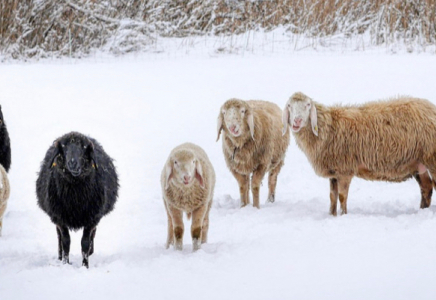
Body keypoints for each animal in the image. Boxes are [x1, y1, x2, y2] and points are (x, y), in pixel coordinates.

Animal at [36, 131, 118, 268]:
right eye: (64, 147)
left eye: (83, 147)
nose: (72, 163)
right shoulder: (60, 217)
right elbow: (65, 242)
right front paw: (65, 263)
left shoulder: (92, 218)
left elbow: (85, 243)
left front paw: (85, 265)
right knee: (59, 237)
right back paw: (60, 257)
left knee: (92, 236)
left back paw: (91, 251)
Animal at [282, 91, 436, 216]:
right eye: (289, 106)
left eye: (308, 105)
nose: (297, 121)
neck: (327, 128)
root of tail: (431, 108)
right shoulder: (334, 172)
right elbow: (332, 196)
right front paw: (331, 215)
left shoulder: (345, 170)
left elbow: (342, 196)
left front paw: (343, 215)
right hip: (418, 164)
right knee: (426, 188)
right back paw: (422, 210)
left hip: (431, 158)